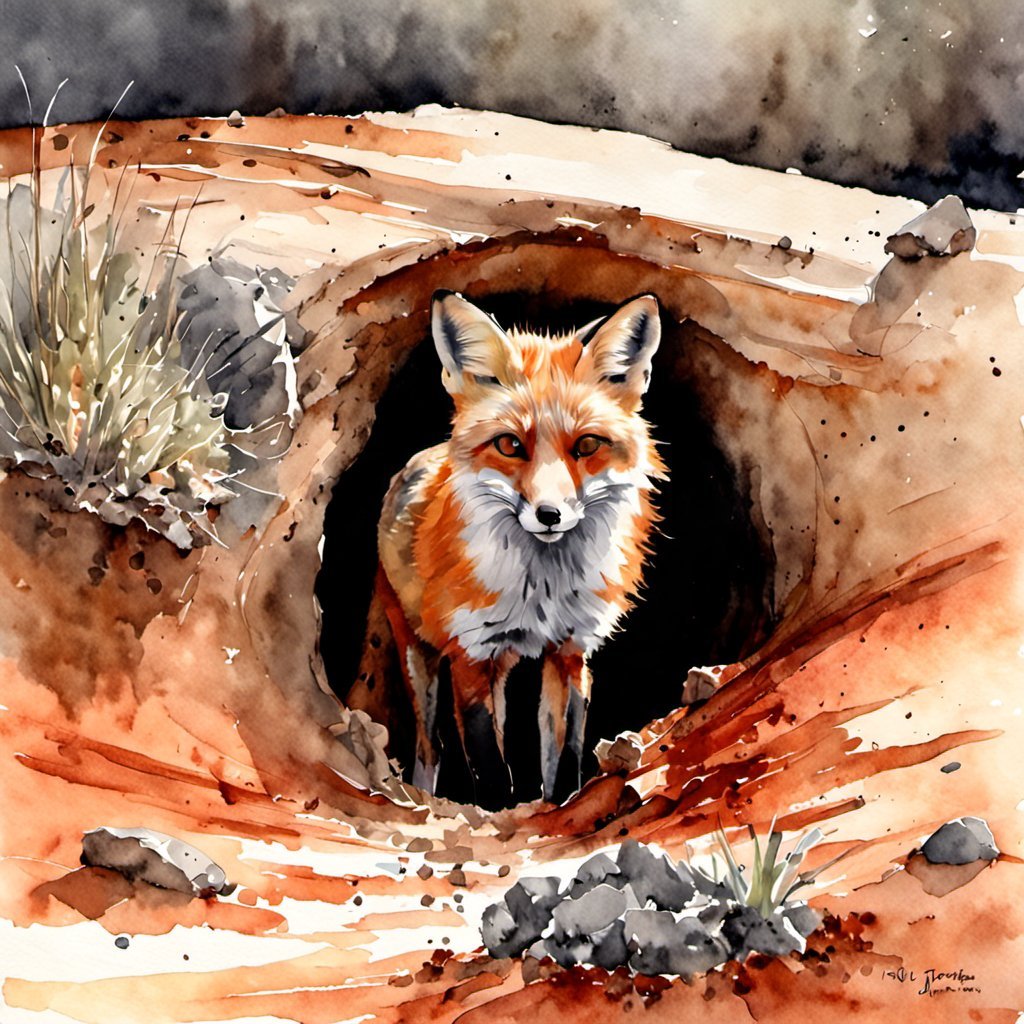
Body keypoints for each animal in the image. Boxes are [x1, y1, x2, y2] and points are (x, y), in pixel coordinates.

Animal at [347, 291, 665, 804]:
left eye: (587, 445)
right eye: (510, 445)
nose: (550, 514)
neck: (544, 588)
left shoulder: (571, 652)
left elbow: (565, 753)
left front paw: (559, 808)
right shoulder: (471, 654)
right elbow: (489, 765)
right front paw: (499, 814)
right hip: (420, 654)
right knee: (430, 744)